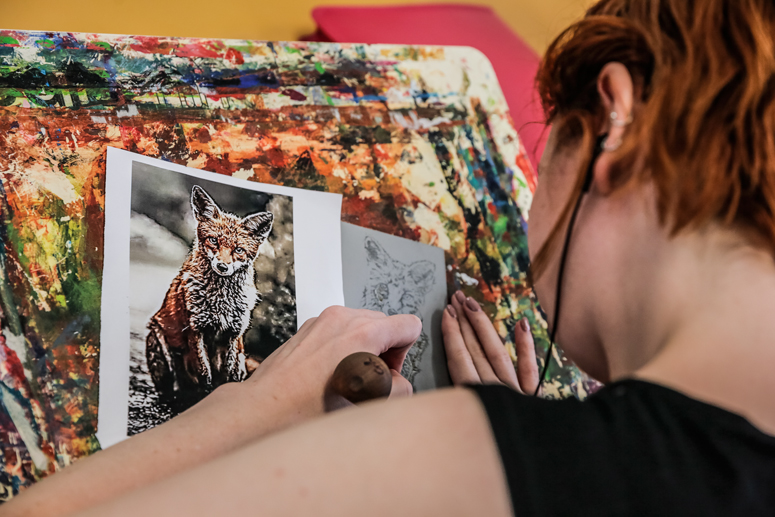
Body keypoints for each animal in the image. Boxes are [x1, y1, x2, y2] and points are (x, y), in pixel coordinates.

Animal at [147, 185, 274, 400]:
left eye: (238, 250)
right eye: (213, 240)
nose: (222, 266)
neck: (220, 302)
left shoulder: (233, 334)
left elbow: (228, 373)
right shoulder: (195, 330)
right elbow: (203, 372)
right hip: (158, 341)